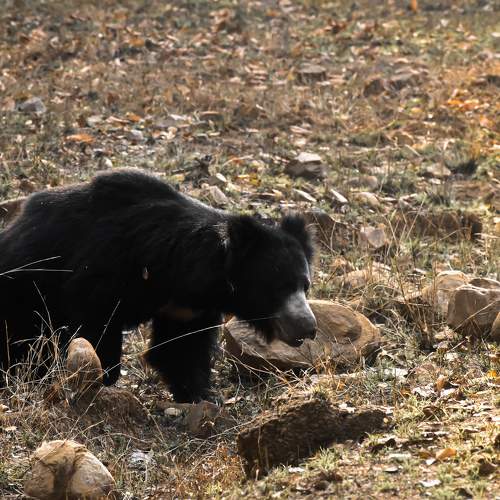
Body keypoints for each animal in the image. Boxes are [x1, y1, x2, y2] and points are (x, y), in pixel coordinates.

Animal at [0, 169, 316, 402]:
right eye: (277, 287)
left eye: (305, 285)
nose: (308, 327)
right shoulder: (100, 273)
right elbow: (94, 324)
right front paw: (102, 377)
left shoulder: (187, 308)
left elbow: (181, 349)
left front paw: (200, 394)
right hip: (24, 288)